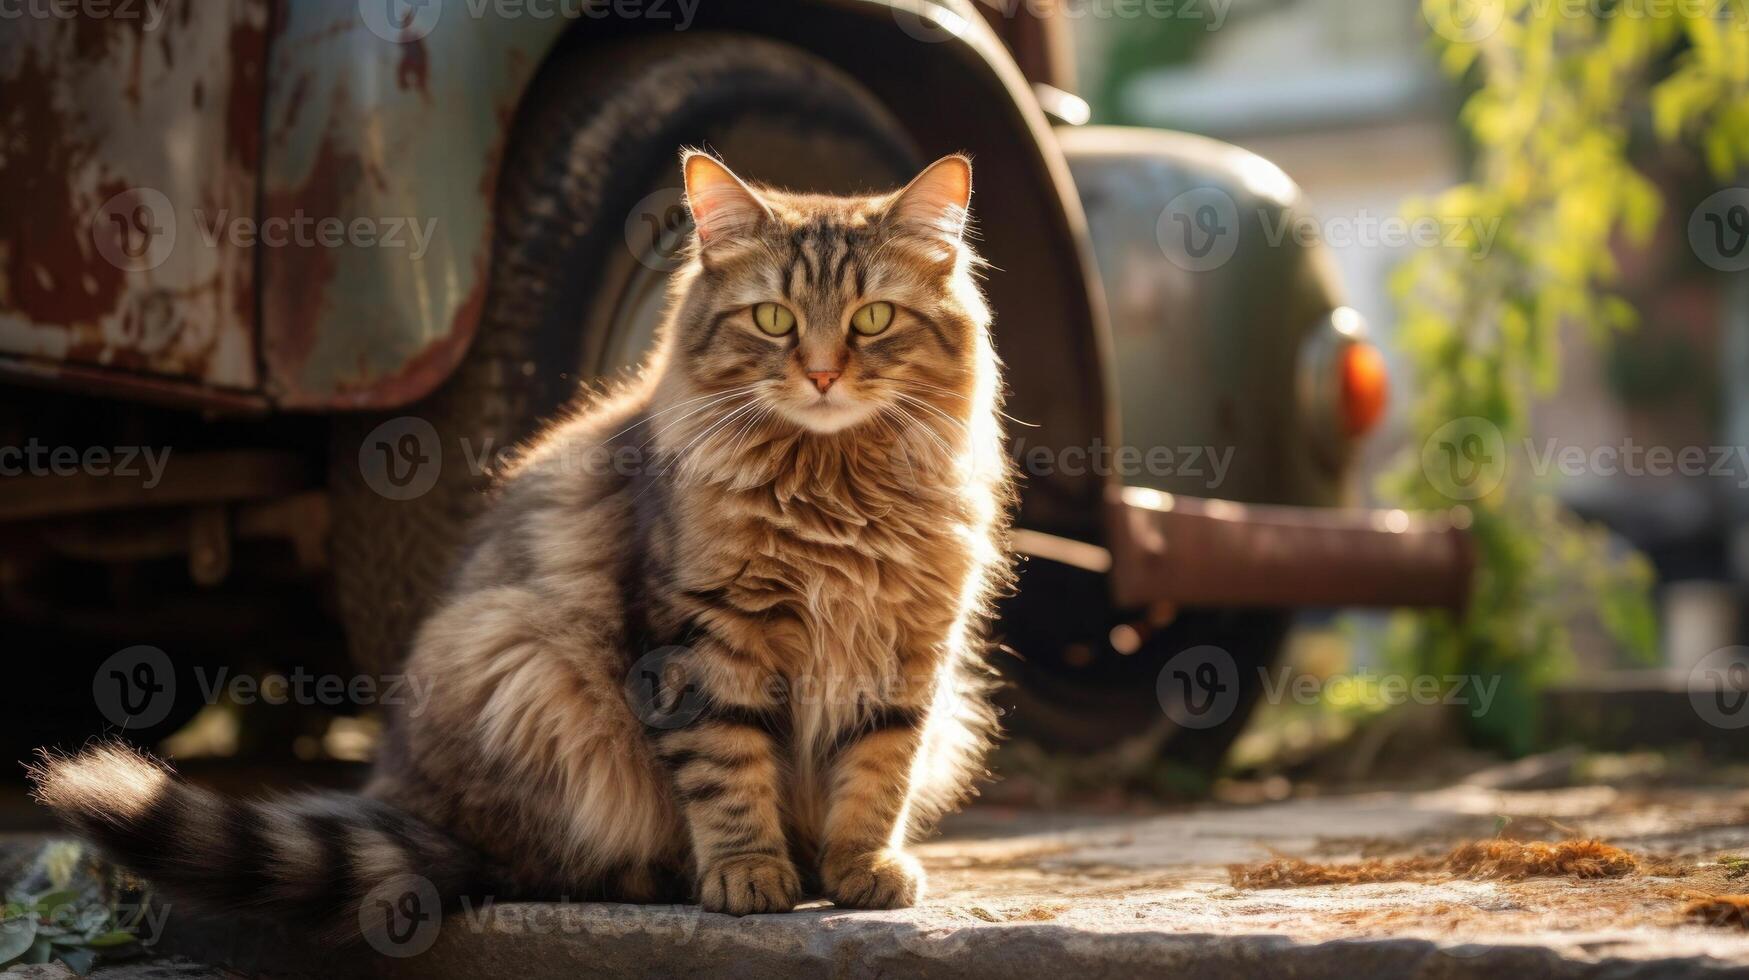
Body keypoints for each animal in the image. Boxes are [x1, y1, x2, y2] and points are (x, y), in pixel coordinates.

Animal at [30, 151, 1014, 924]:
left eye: (871, 319)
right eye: (773, 319)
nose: (820, 375)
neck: (831, 485)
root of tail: (415, 807)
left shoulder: (908, 653)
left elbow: (876, 773)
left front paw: (858, 869)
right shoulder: (701, 644)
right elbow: (729, 772)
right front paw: (748, 873)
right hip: (526, 668)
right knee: (528, 865)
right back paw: (663, 874)